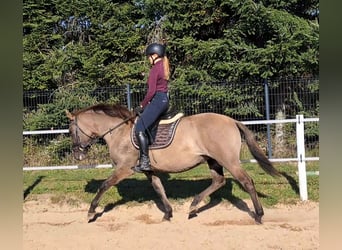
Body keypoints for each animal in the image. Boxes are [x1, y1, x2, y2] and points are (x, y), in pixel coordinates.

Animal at [66, 102, 280, 224]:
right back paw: (193, 207)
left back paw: (258, 215)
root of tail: (231, 120)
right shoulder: (148, 170)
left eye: (70, 130)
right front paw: (168, 213)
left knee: (247, 182)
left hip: (229, 160)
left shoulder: (124, 169)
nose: (77, 155)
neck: (119, 131)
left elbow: (104, 186)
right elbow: (158, 188)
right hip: (213, 160)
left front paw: (90, 213)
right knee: (218, 181)